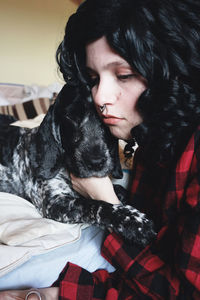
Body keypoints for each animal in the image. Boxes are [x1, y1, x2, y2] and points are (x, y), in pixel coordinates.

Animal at [0, 84, 155, 246]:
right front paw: (134, 222)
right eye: (70, 116)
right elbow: (95, 205)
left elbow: (119, 191)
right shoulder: (54, 203)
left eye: (106, 119)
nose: (96, 162)